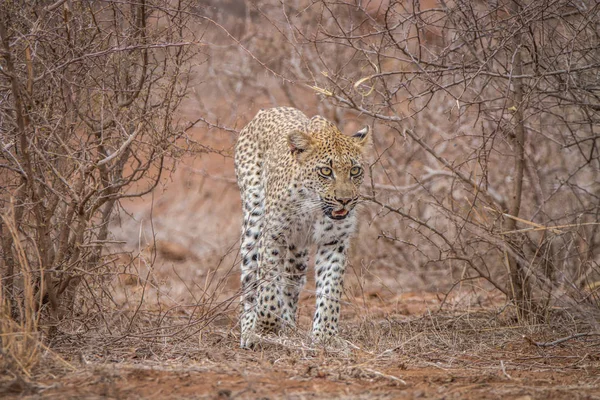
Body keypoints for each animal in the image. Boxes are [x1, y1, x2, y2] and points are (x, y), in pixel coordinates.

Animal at [234, 108, 370, 348]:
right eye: (325, 171)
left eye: (355, 171)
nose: (344, 200)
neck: (313, 207)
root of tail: (266, 110)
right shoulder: (273, 235)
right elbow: (268, 287)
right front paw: (266, 329)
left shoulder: (334, 241)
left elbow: (330, 288)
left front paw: (325, 336)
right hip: (253, 219)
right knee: (250, 280)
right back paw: (250, 330)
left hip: (299, 249)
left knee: (291, 283)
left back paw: (288, 326)